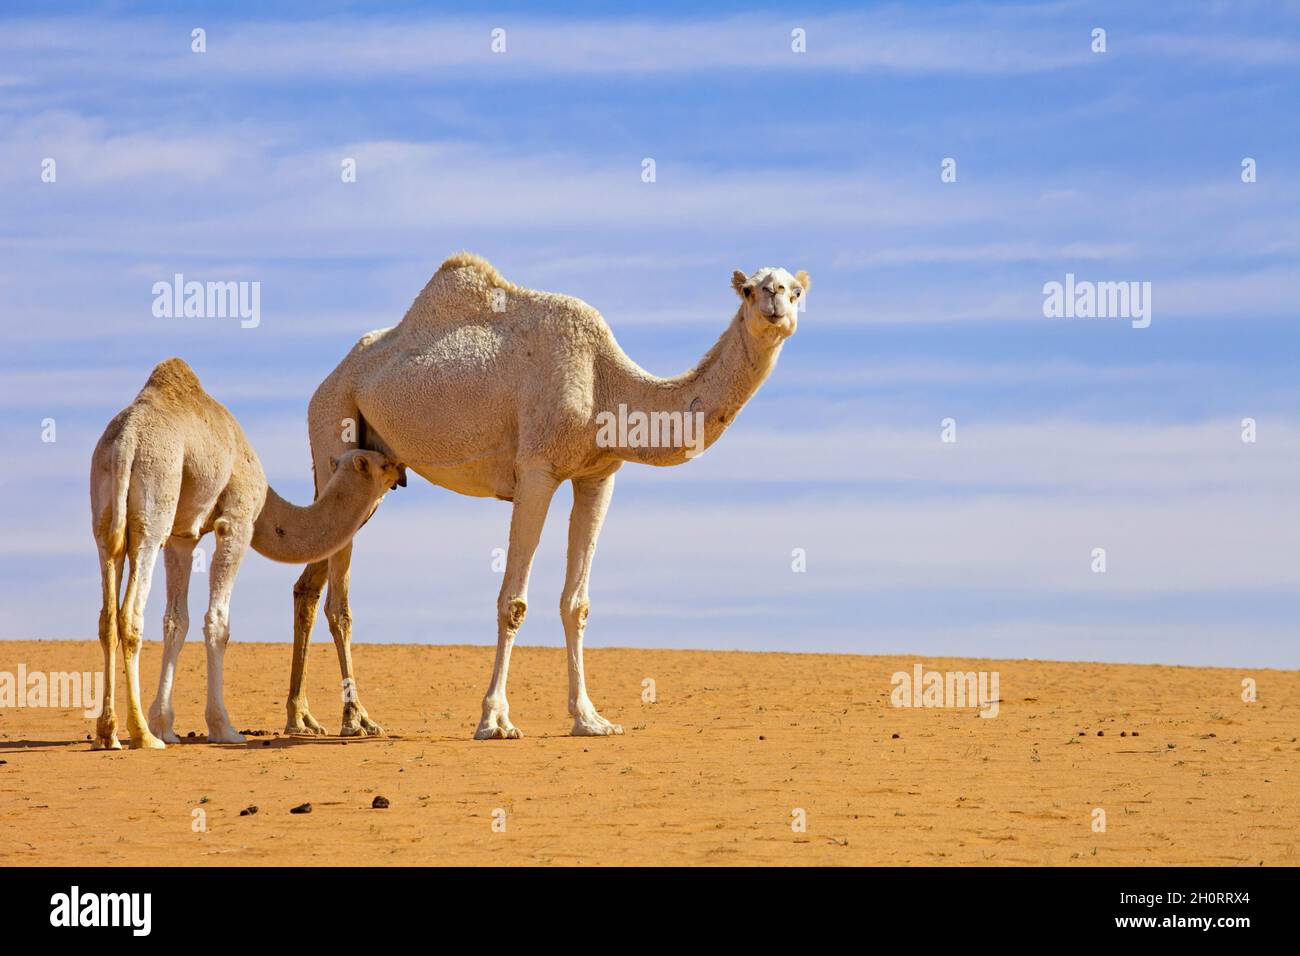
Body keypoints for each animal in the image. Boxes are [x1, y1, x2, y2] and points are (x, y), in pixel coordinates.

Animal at [91, 358, 400, 749]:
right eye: (380, 463)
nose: (400, 467)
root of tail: (125, 443)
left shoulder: (183, 536)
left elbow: (176, 621)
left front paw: (165, 724)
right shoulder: (236, 521)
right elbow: (218, 621)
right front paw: (222, 727)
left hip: (106, 514)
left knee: (107, 614)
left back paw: (108, 732)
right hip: (154, 503)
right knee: (130, 612)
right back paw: (142, 735)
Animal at [289, 254, 806, 738]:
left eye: (796, 290)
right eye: (748, 289)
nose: (775, 301)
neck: (605, 383)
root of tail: (327, 382)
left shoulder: (599, 475)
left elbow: (577, 603)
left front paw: (590, 718)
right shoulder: (536, 469)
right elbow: (513, 602)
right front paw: (494, 720)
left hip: (371, 476)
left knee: (310, 581)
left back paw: (302, 718)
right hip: (334, 427)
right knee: (339, 602)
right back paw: (356, 719)